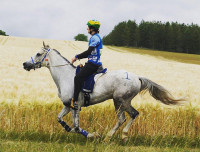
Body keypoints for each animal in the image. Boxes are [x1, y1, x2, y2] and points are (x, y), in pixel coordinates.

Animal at [22, 42, 184, 142]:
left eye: (38, 54)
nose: (25, 64)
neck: (65, 76)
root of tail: (137, 77)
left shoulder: (76, 106)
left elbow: (76, 127)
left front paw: (93, 135)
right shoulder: (68, 105)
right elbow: (62, 121)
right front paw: (88, 133)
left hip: (121, 100)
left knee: (131, 115)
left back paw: (118, 136)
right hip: (118, 101)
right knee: (125, 117)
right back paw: (113, 137)